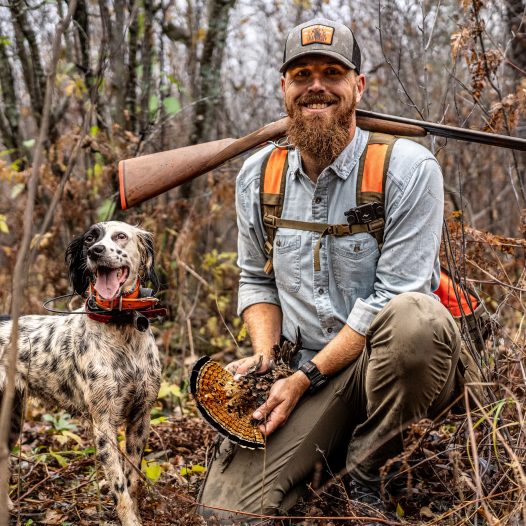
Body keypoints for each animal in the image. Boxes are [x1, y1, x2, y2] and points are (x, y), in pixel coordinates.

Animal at [0, 222, 163, 526]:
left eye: (120, 236)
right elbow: (119, 486)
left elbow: (132, 479)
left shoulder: (141, 416)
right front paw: (130, 519)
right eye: (90, 239)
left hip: (13, 417)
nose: (95, 251)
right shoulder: (103, 424)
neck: (120, 327)